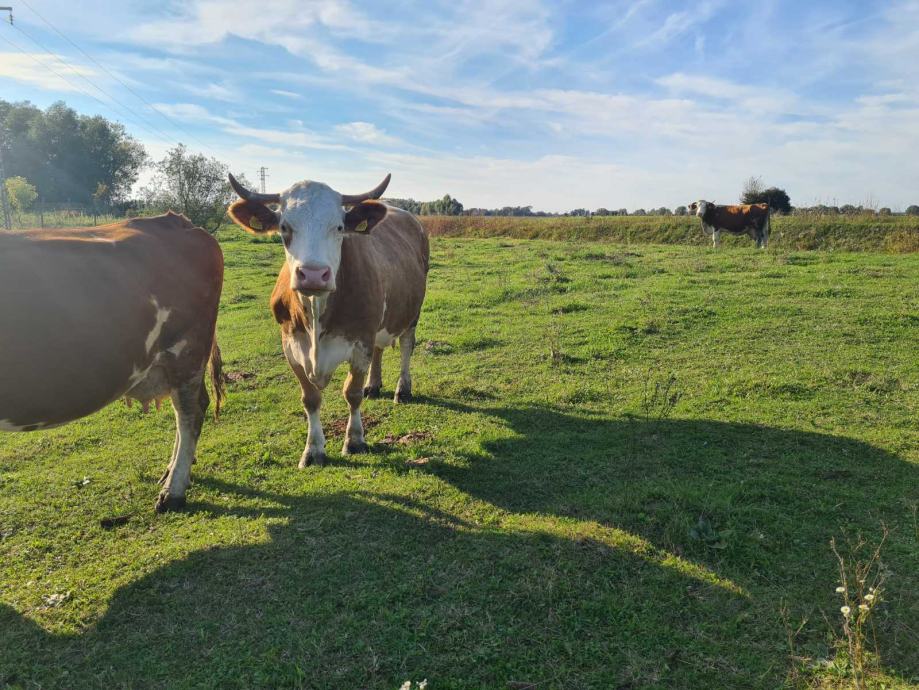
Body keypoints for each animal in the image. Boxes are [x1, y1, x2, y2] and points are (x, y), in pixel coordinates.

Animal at [226, 171, 428, 468]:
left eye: (339, 227)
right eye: (284, 227)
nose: (312, 274)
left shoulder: (361, 343)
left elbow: (352, 393)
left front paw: (354, 441)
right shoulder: (291, 346)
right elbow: (310, 398)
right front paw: (313, 450)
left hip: (412, 313)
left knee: (405, 347)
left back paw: (402, 390)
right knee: (381, 349)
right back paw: (374, 385)